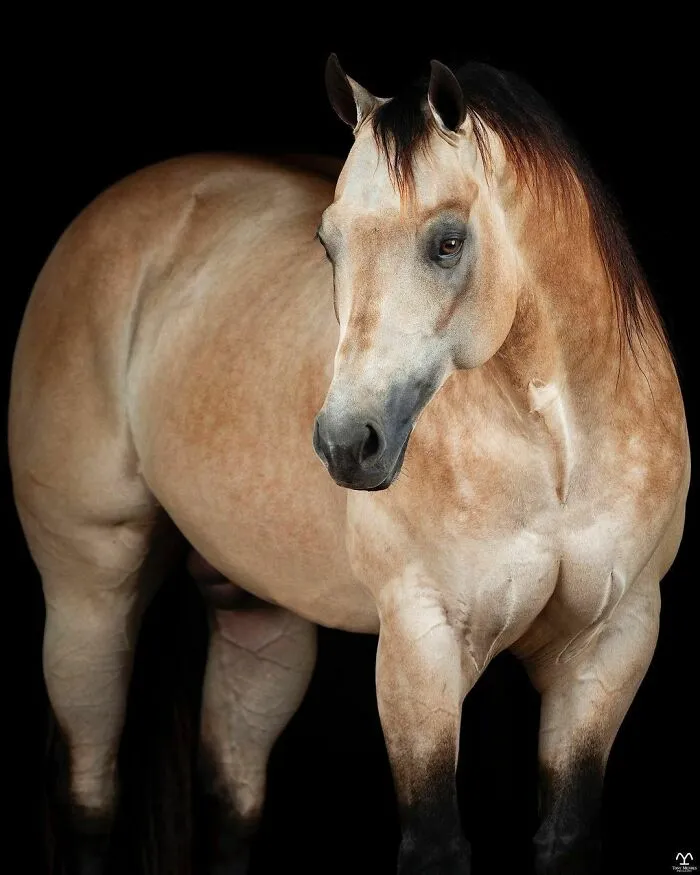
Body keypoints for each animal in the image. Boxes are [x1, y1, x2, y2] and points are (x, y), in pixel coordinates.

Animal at [9, 55, 689, 875]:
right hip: (89, 594)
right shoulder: (421, 643)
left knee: (231, 799)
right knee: (89, 797)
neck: (560, 457)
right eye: (328, 244)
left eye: (449, 242)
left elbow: (566, 834)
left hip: (257, 615)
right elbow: (434, 841)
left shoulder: (611, 644)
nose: (345, 443)